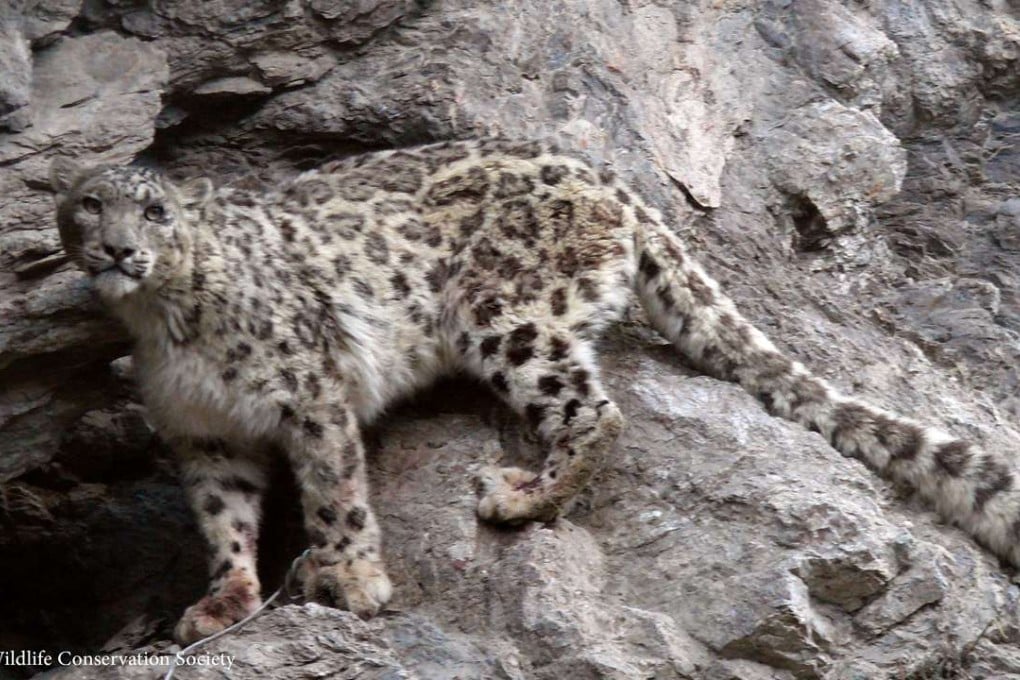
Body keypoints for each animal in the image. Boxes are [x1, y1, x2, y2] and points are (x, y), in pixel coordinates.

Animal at [49, 138, 1020, 645]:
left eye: (158, 212)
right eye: (89, 206)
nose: (120, 249)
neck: (166, 327)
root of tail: (606, 174)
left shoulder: (310, 391)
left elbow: (334, 491)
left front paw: (352, 579)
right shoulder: (204, 436)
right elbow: (225, 521)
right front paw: (223, 601)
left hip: (499, 313)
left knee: (597, 408)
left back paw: (521, 496)